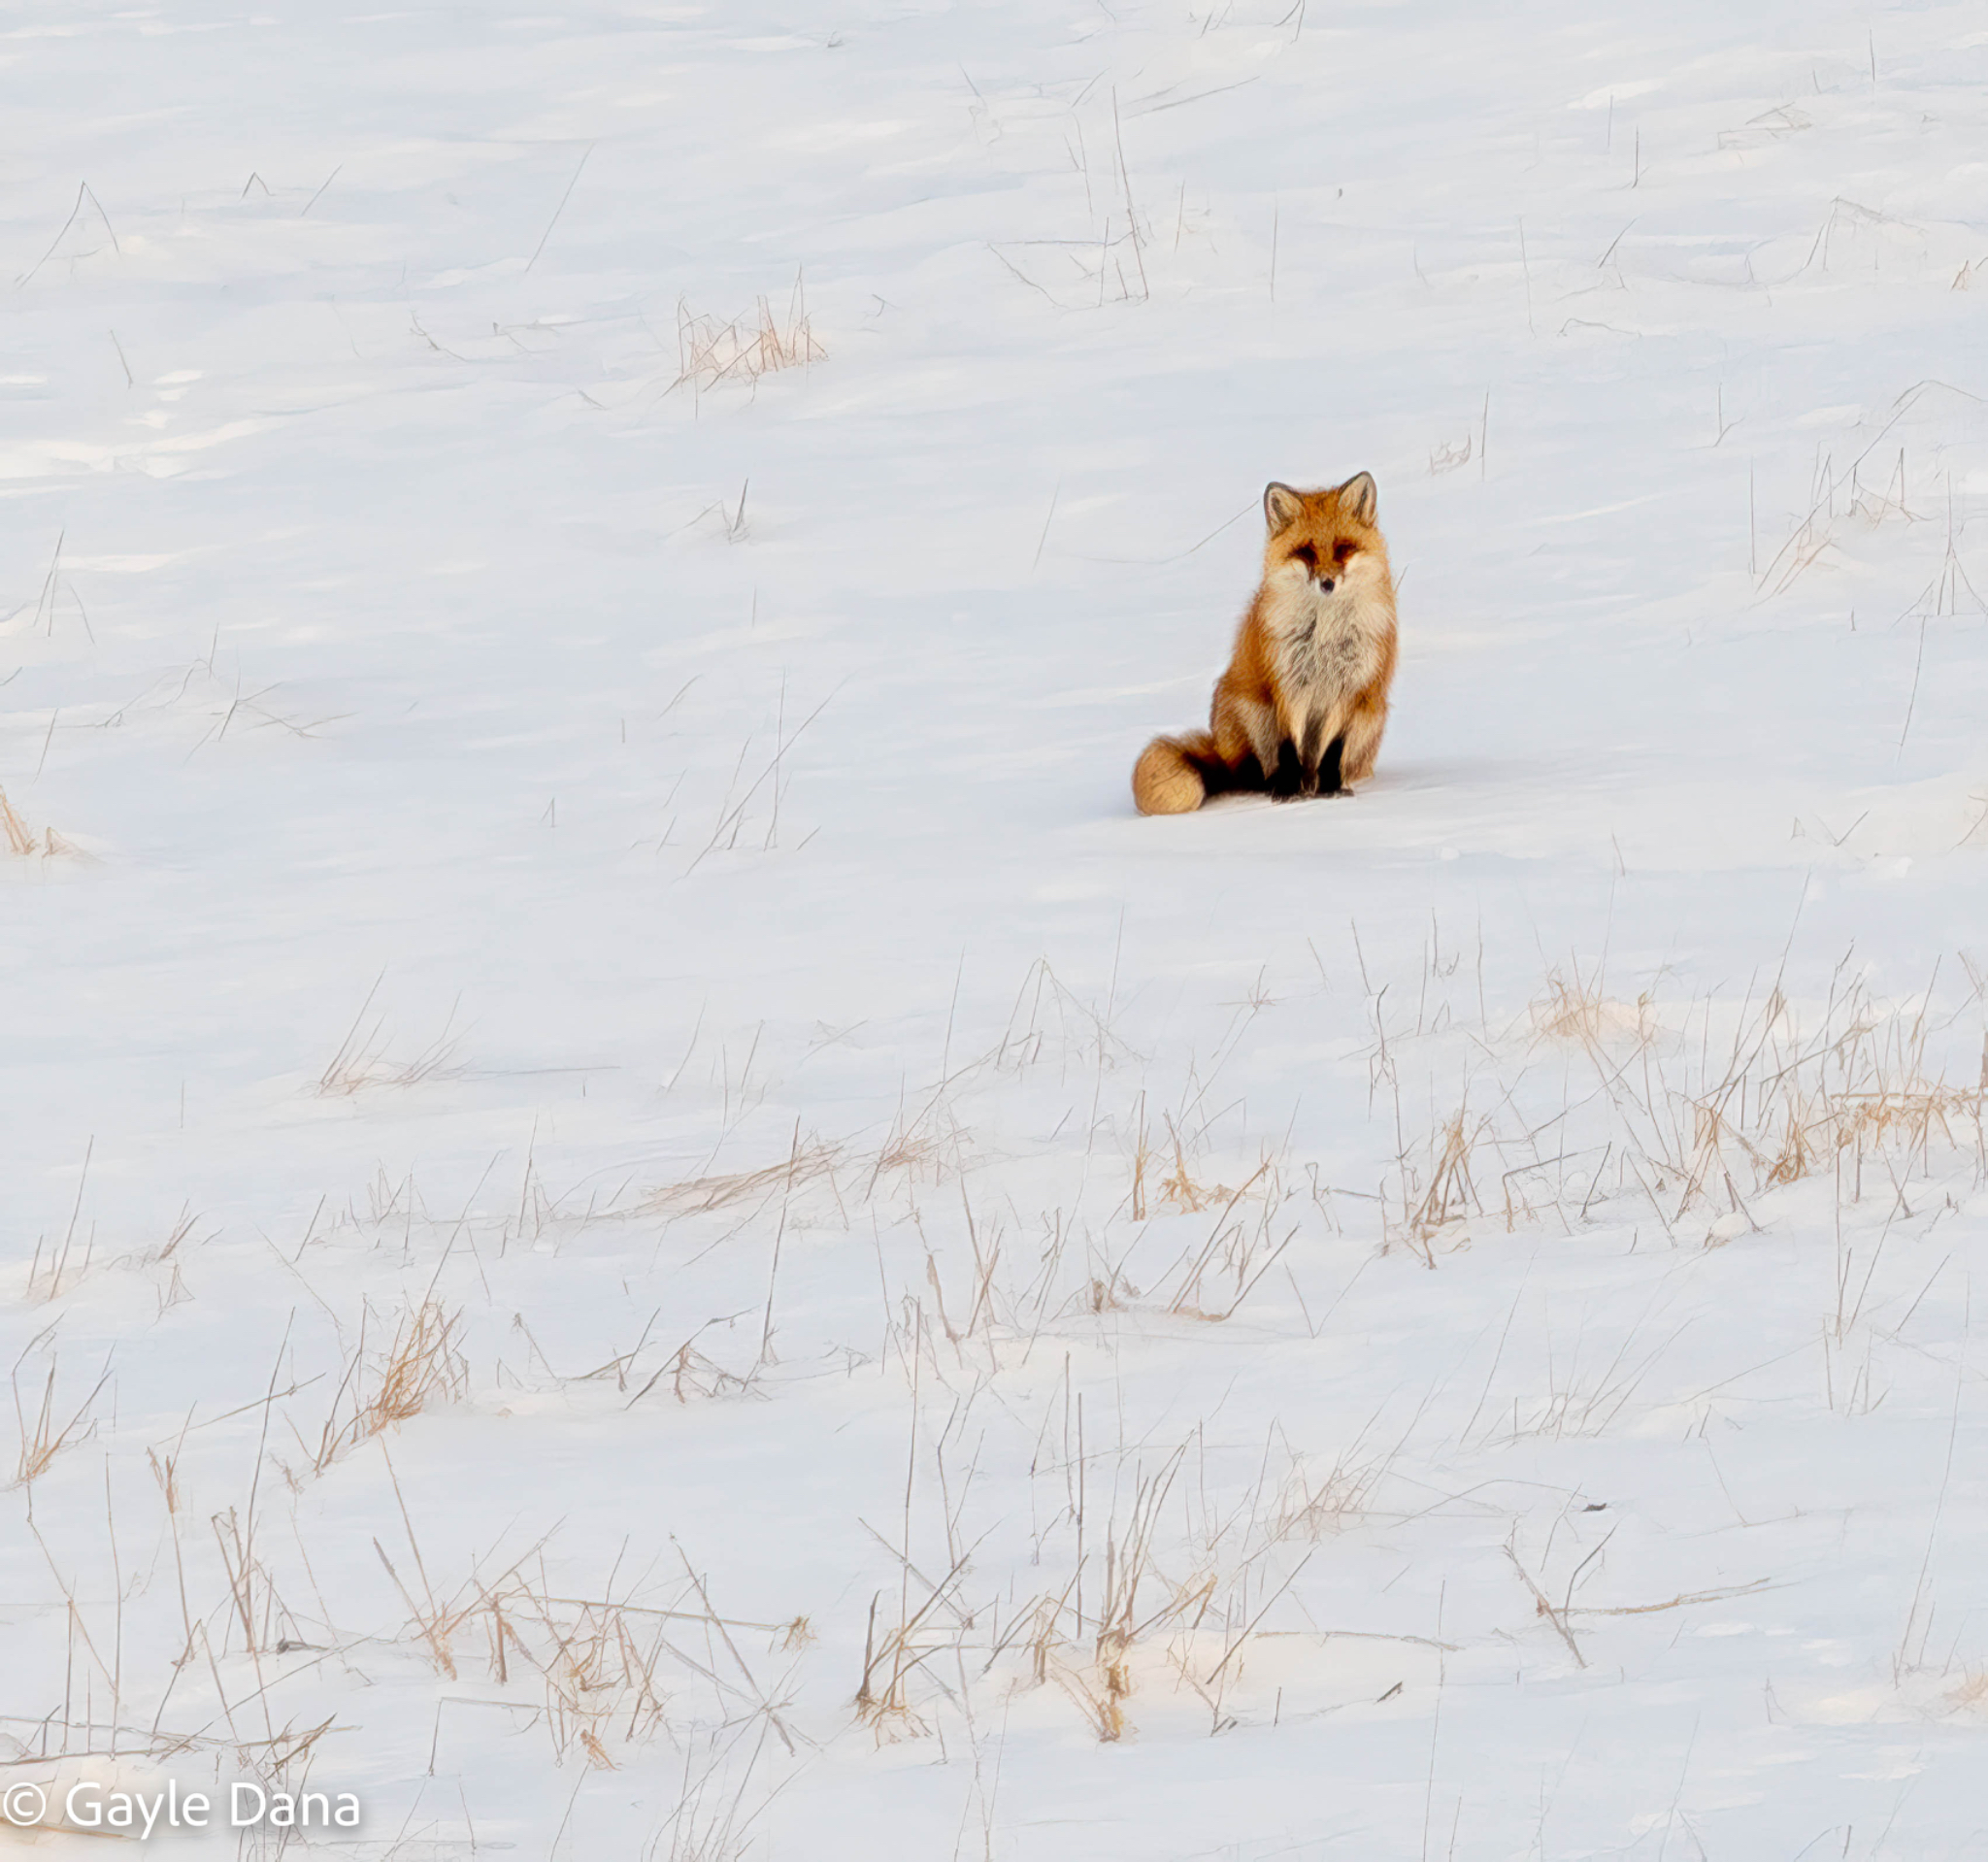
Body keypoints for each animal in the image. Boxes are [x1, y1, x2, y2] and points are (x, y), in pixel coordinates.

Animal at [1132, 472, 1398, 815]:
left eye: (1343, 548)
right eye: (1306, 552)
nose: (1327, 583)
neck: (1324, 634)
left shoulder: (1351, 690)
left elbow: (1333, 751)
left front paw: (1331, 791)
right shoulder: (1284, 686)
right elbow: (1288, 749)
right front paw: (1287, 794)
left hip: (1372, 712)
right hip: (1251, 711)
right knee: (1251, 774)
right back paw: (1275, 786)